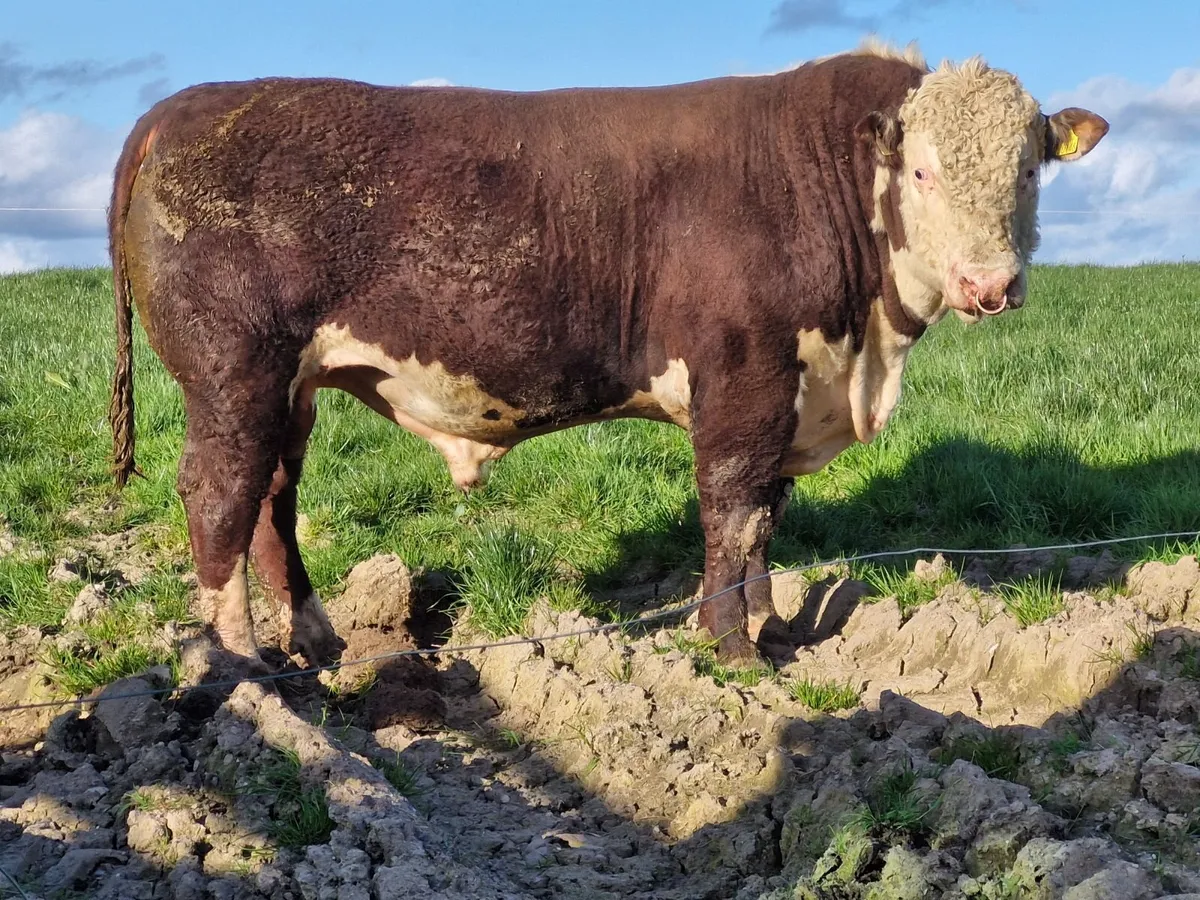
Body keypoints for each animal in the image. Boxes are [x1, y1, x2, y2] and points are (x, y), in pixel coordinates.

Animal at [106, 39, 1107, 667]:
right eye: (924, 170)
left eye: (1028, 170)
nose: (990, 283)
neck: (863, 355)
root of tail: (179, 109)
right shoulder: (743, 379)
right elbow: (733, 512)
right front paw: (733, 649)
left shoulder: (794, 391)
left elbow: (766, 522)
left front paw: (773, 627)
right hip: (234, 373)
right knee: (219, 496)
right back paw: (240, 665)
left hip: (293, 384)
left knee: (273, 499)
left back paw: (315, 645)